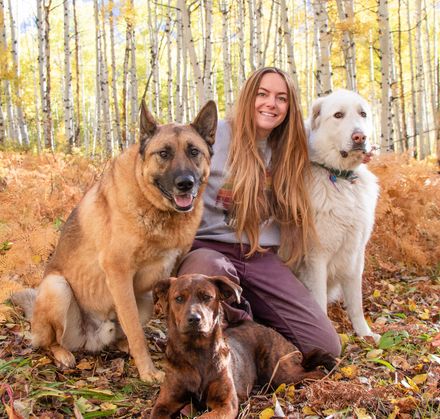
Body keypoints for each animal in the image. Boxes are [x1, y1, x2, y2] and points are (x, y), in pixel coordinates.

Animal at [12, 101, 219, 384]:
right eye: (164, 153)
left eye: (194, 151)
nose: (185, 184)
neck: (156, 210)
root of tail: (93, 338)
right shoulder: (119, 274)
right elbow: (135, 331)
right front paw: (148, 371)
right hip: (58, 288)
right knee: (50, 342)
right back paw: (63, 354)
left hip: (144, 300)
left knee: (123, 333)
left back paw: (122, 345)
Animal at [150, 274, 336, 418]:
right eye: (179, 298)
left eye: (207, 297)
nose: (195, 319)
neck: (196, 352)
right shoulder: (163, 404)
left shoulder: (227, 404)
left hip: (280, 373)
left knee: (317, 372)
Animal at [300, 90, 382, 342]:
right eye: (338, 115)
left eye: (363, 114)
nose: (360, 137)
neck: (341, 178)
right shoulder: (316, 258)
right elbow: (319, 303)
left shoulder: (355, 255)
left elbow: (356, 303)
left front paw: (365, 335)